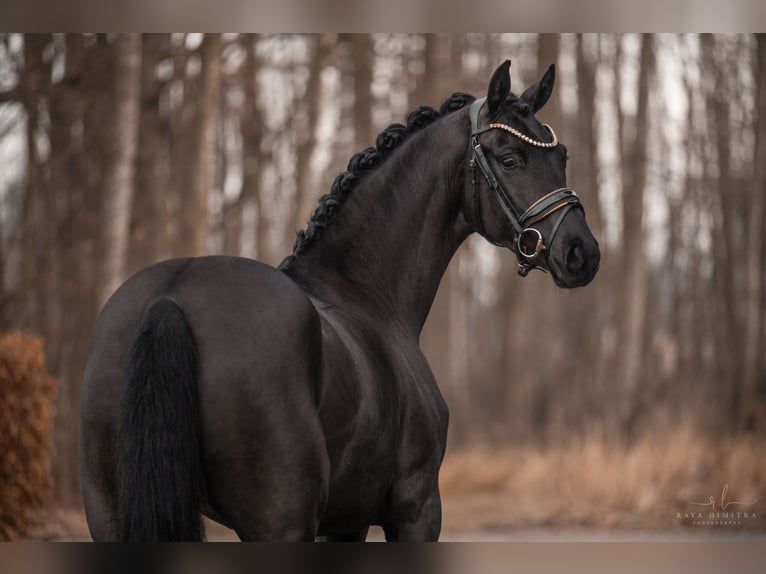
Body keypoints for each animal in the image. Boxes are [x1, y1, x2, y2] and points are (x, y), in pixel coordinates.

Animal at [81, 60, 604, 544]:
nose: (582, 253)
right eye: (510, 159)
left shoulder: (345, 521)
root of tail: (171, 299)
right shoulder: (415, 509)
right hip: (281, 523)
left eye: (561, 155)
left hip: (113, 515)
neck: (364, 295)